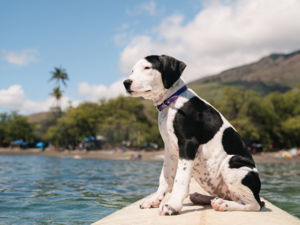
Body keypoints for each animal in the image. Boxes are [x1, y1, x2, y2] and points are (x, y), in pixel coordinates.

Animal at [122, 55, 262, 216]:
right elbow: (165, 177)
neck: (172, 101)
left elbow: (180, 179)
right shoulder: (170, 148)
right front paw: (154, 200)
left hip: (232, 162)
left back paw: (223, 204)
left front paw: (173, 205)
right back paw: (202, 197)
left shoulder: (188, 144)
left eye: (147, 67)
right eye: (132, 70)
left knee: (254, 204)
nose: (126, 83)